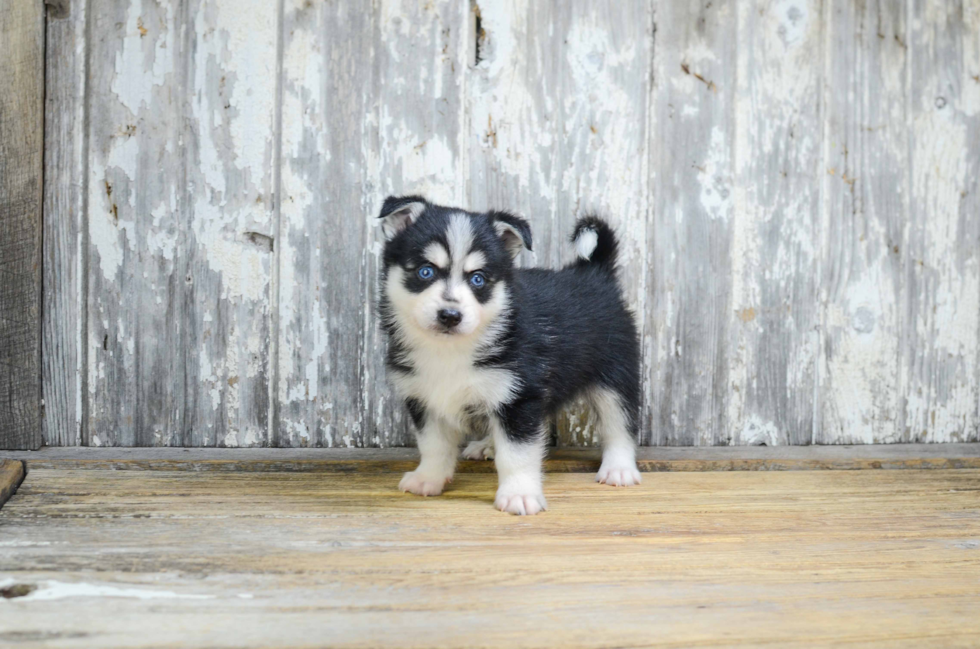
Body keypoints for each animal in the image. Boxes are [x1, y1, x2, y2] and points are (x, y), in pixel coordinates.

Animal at [378, 195, 644, 512]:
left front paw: (519, 494)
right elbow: (433, 445)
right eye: (425, 271)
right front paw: (428, 479)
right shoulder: (424, 398)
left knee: (620, 424)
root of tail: (594, 271)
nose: (450, 316)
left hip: (615, 376)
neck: (451, 350)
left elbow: (517, 454)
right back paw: (487, 445)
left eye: (478, 279)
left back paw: (619, 468)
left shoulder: (520, 397)